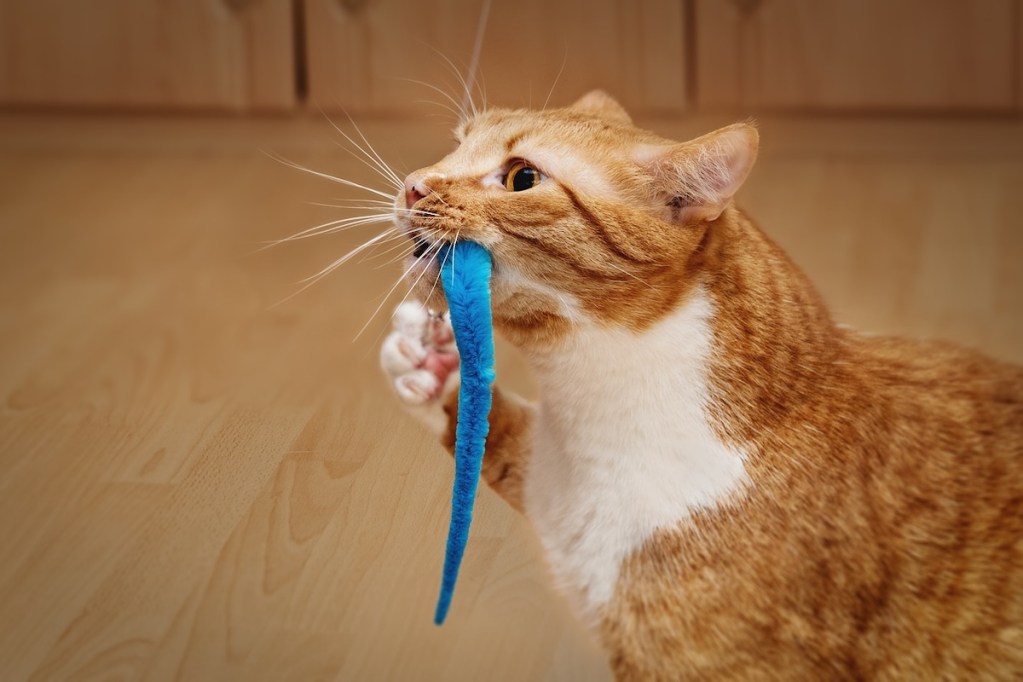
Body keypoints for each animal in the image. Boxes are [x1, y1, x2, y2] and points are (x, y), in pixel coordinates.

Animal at [378, 92, 1023, 682]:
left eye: (522, 178)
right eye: (457, 144)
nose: (412, 185)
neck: (586, 415)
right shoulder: (553, 487)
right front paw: (430, 365)